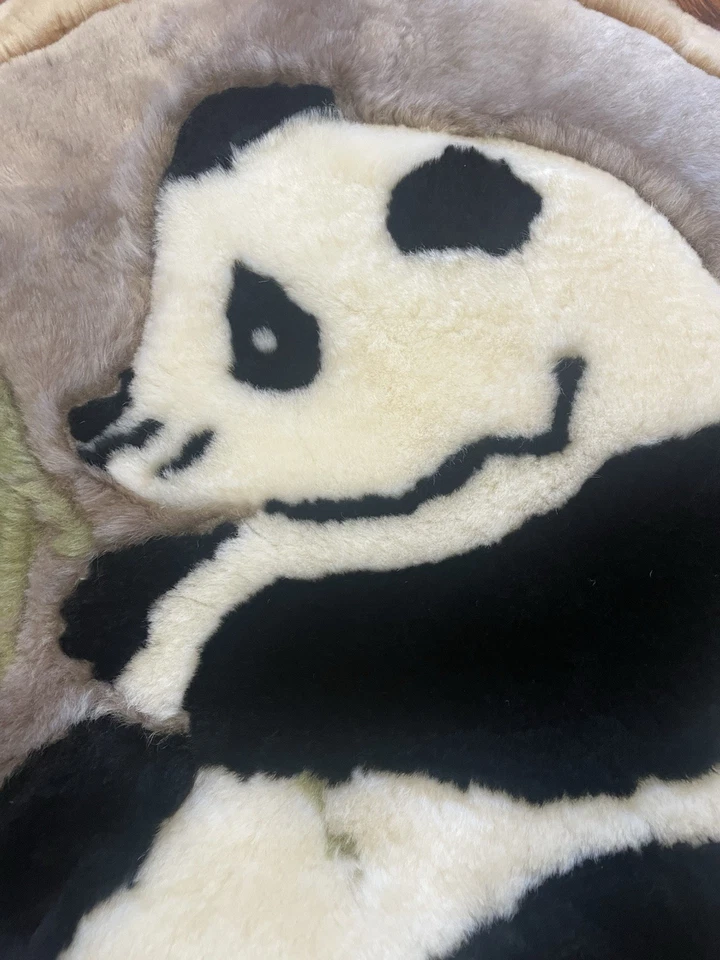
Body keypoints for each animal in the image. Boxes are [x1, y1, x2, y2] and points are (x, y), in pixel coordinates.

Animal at [3, 85, 720, 959]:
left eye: (264, 333)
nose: (100, 432)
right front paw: (117, 597)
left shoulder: (648, 547)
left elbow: (471, 669)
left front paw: (120, 618)